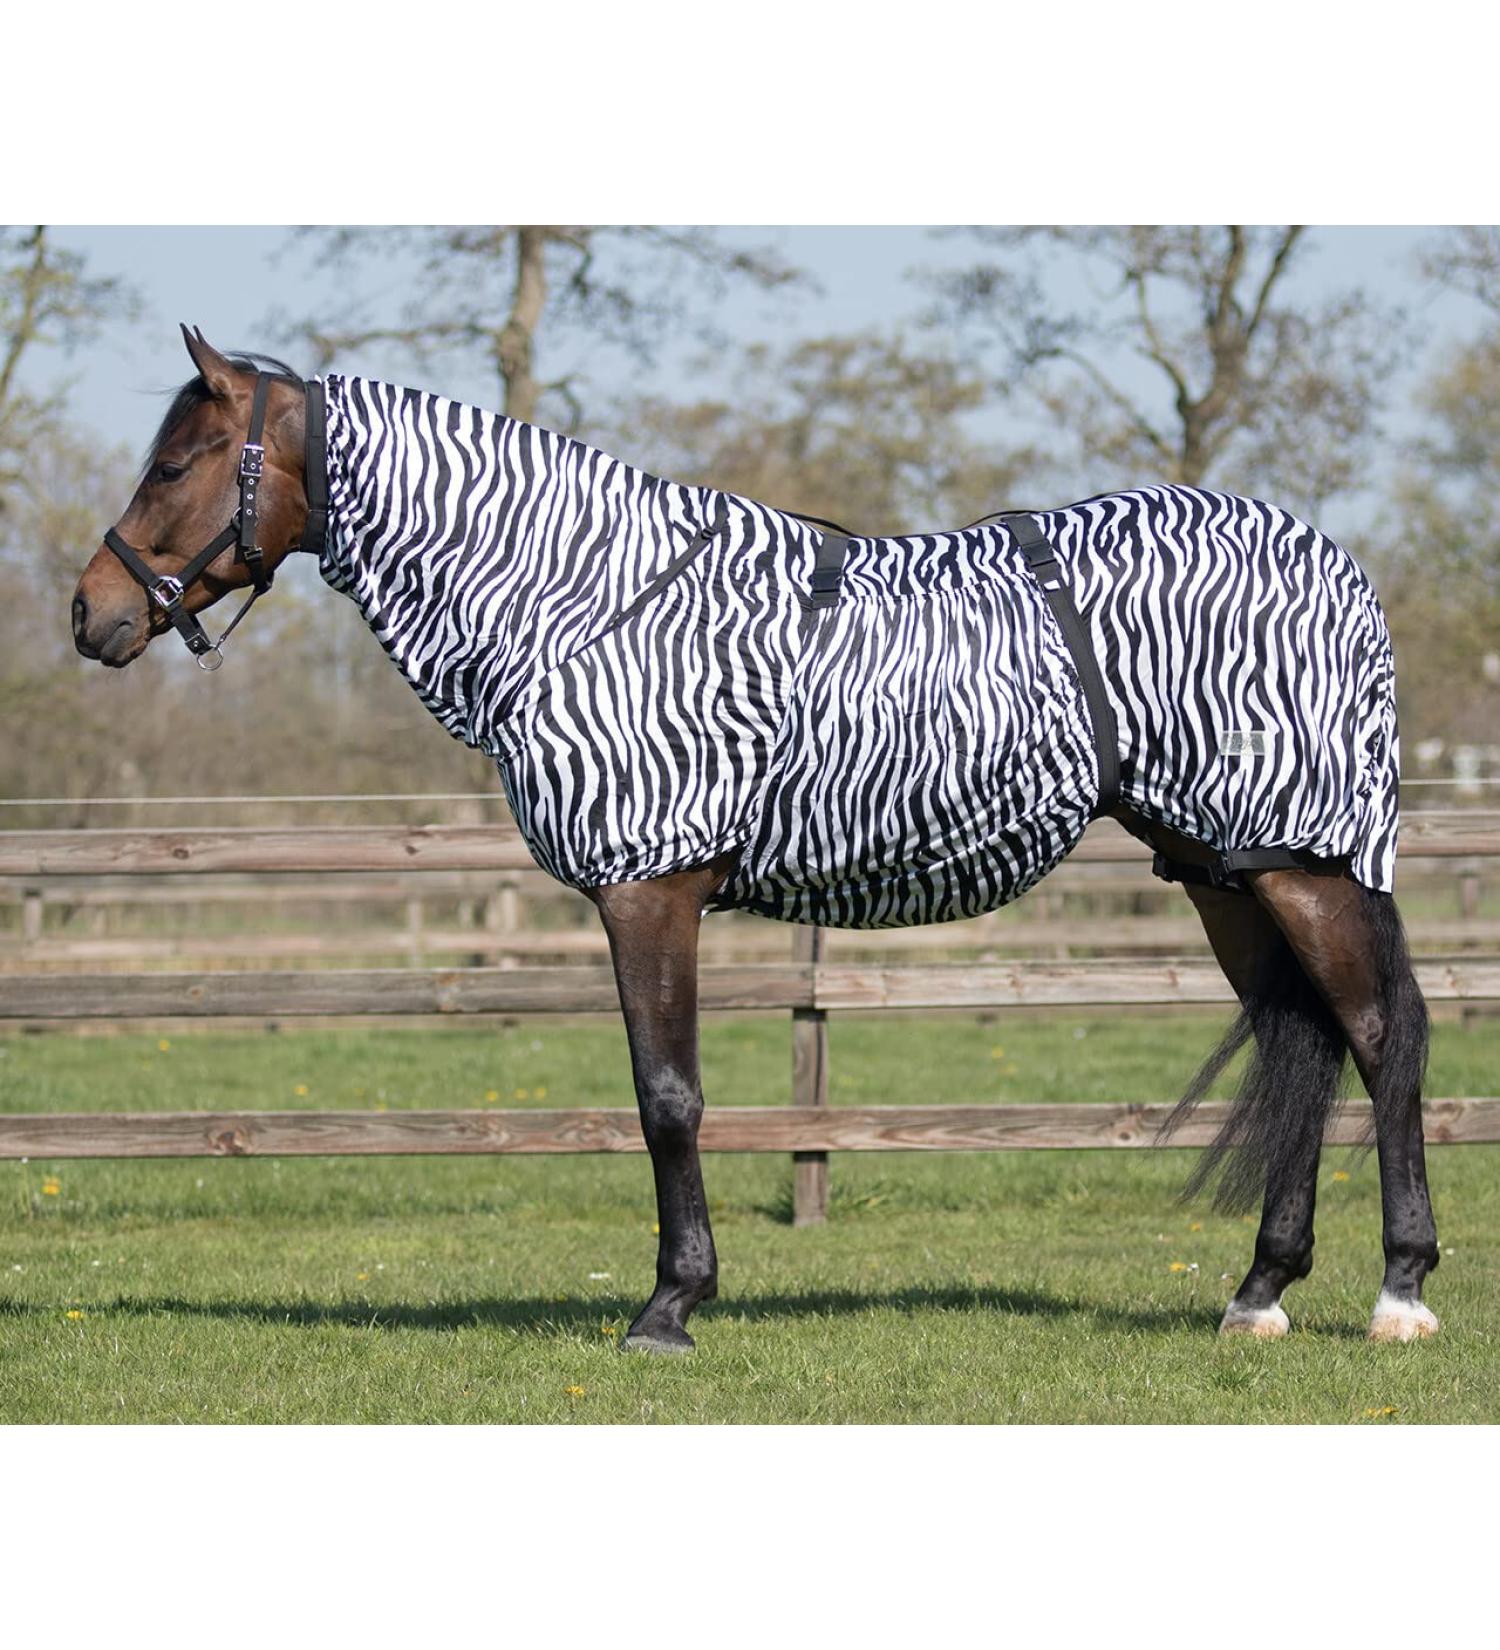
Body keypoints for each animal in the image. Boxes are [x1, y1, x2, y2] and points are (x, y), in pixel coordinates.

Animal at [72, 329, 1437, 1353]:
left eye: (179, 463)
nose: (89, 613)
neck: (582, 601)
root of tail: (1339, 566)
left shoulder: (650, 891)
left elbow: (667, 1096)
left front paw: (670, 1305)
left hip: (1306, 864)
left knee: (1380, 1039)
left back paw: (1400, 1290)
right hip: (1226, 872)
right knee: (1304, 1037)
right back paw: (1258, 1294)